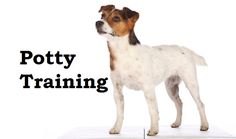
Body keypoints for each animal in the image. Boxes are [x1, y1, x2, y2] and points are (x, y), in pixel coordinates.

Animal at [95, 4, 209, 136]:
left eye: (116, 18)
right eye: (102, 16)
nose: (97, 22)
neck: (124, 53)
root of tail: (186, 50)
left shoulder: (148, 89)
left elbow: (153, 111)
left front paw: (154, 129)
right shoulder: (117, 91)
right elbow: (120, 113)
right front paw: (116, 128)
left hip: (191, 84)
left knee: (200, 104)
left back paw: (205, 125)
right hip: (171, 87)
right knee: (179, 103)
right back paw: (177, 123)